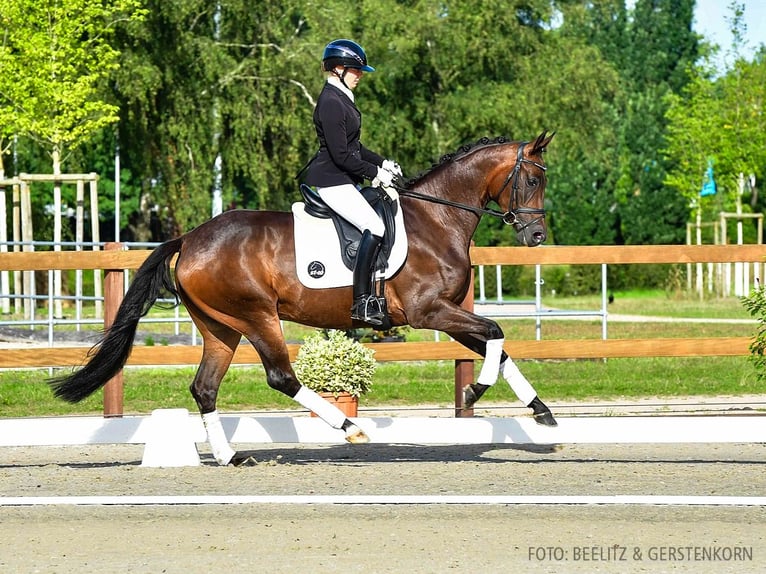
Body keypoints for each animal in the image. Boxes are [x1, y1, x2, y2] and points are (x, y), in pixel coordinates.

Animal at [52, 129, 560, 464]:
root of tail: (191, 238)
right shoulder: (428, 311)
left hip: (219, 326)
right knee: (281, 376)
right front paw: (475, 391)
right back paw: (350, 428)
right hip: (257, 316)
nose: (536, 236)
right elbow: (495, 331)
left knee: (205, 387)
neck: (436, 221)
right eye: (533, 180)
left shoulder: (445, 313)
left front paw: (541, 411)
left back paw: (230, 456)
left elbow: (498, 344)